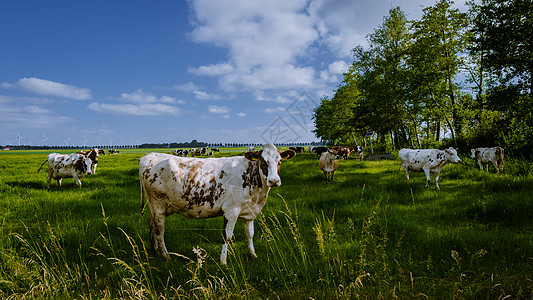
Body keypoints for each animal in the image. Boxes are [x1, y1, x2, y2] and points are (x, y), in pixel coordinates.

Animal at [137, 144, 296, 264]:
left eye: (279, 161)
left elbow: (250, 234)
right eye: (263, 161)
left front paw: (253, 255)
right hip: (158, 203)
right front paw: (223, 261)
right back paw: (165, 255)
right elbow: (227, 236)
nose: (274, 181)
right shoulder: (231, 210)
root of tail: (148, 156)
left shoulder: (249, 210)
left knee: (151, 222)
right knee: (159, 229)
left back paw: (154, 250)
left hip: (162, 206)